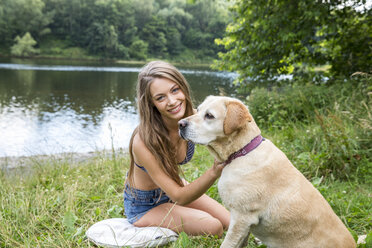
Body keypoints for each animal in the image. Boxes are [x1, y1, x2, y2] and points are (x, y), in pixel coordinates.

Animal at [179, 96, 356, 248]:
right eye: (198, 109)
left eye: (209, 115)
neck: (242, 151)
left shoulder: (241, 218)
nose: (180, 124)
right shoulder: (243, 225)